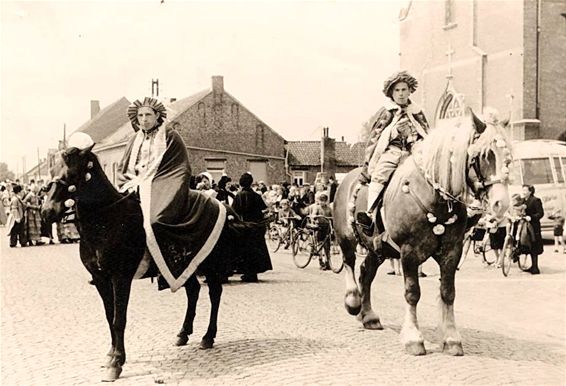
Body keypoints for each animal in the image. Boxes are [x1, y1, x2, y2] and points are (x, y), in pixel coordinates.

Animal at [40, 143, 251, 382]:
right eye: (51, 172)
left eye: (72, 174)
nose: (47, 212)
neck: (107, 221)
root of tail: (222, 204)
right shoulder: (101, 278)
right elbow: (109, 317)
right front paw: (111, 355)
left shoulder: (120, 278)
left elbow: (118, 319)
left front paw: (116, 362)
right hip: (181, 266)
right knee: (193, 291)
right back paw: (183, 333)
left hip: (210, 264)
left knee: (215, 294)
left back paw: (208, 336)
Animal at [332, 108, 516, 356]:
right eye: (485, 155)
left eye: (507, 157)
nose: (501, 203)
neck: (434, 197)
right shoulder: (409, 252)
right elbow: (412, 293)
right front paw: (413, 338)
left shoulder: (451, 252)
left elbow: (448, 292)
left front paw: (451, 339)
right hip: (346, 239)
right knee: (350, 264)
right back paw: (353, 302)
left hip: (379, 249)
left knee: (365, 273)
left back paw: (368, 316)